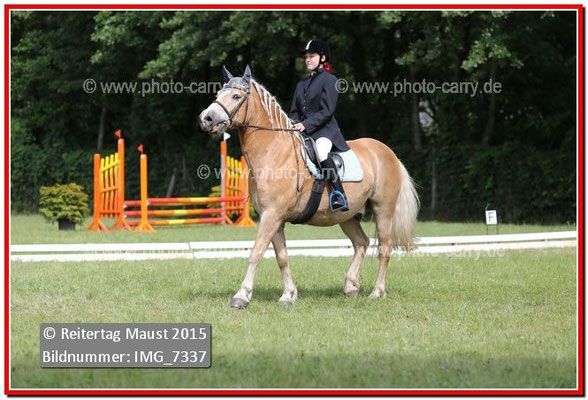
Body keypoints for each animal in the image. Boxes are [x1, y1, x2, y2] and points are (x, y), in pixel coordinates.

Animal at [199, 65, 419, 309]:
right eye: (218, 94)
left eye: (236, 96)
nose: (206, 118)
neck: (273, 151)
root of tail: (387, 152)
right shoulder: (275, 218)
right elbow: (282, 257)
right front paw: (288, 294)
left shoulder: (271, 215)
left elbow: (256, 252)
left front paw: (242, 296)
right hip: (347, 215)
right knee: (361, 243)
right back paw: (350, 286)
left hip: (383, 210)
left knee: (384, 248)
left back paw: (377, 292)